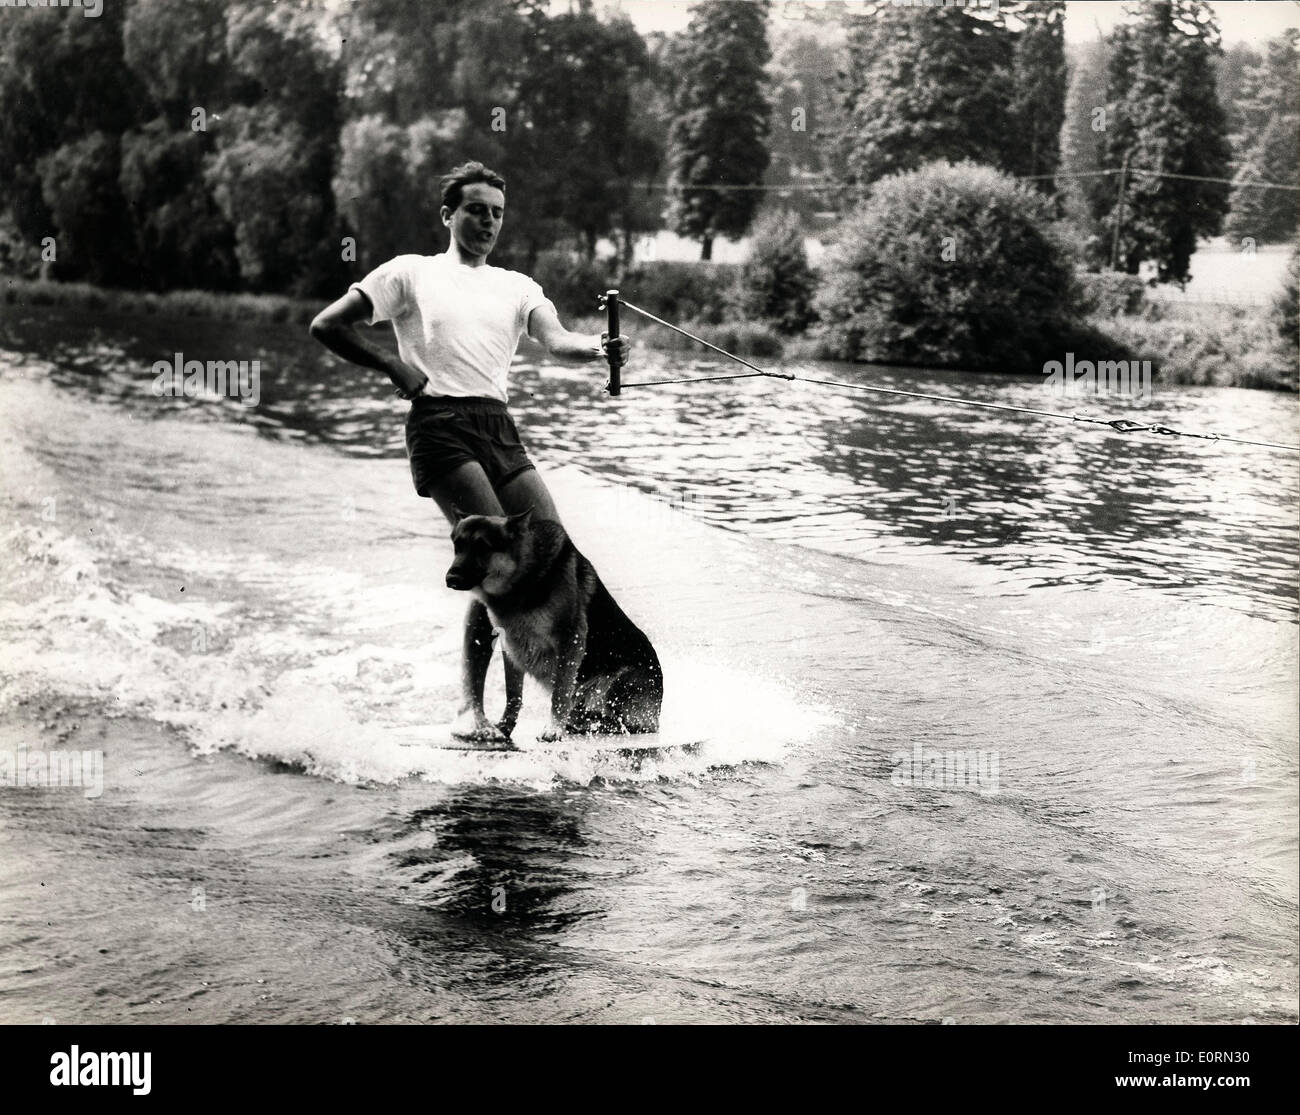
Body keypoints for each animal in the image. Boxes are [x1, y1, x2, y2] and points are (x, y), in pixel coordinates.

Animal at [447, 509, 665, 738]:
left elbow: (560, 692)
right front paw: (505, 726)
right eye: (457, 545)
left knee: (626, 724)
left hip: (616, 682)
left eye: (483, 547)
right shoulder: (513, 648)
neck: (524, 575)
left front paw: (553, 729)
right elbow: (513, 694)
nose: (450, 578)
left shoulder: (570, 639)